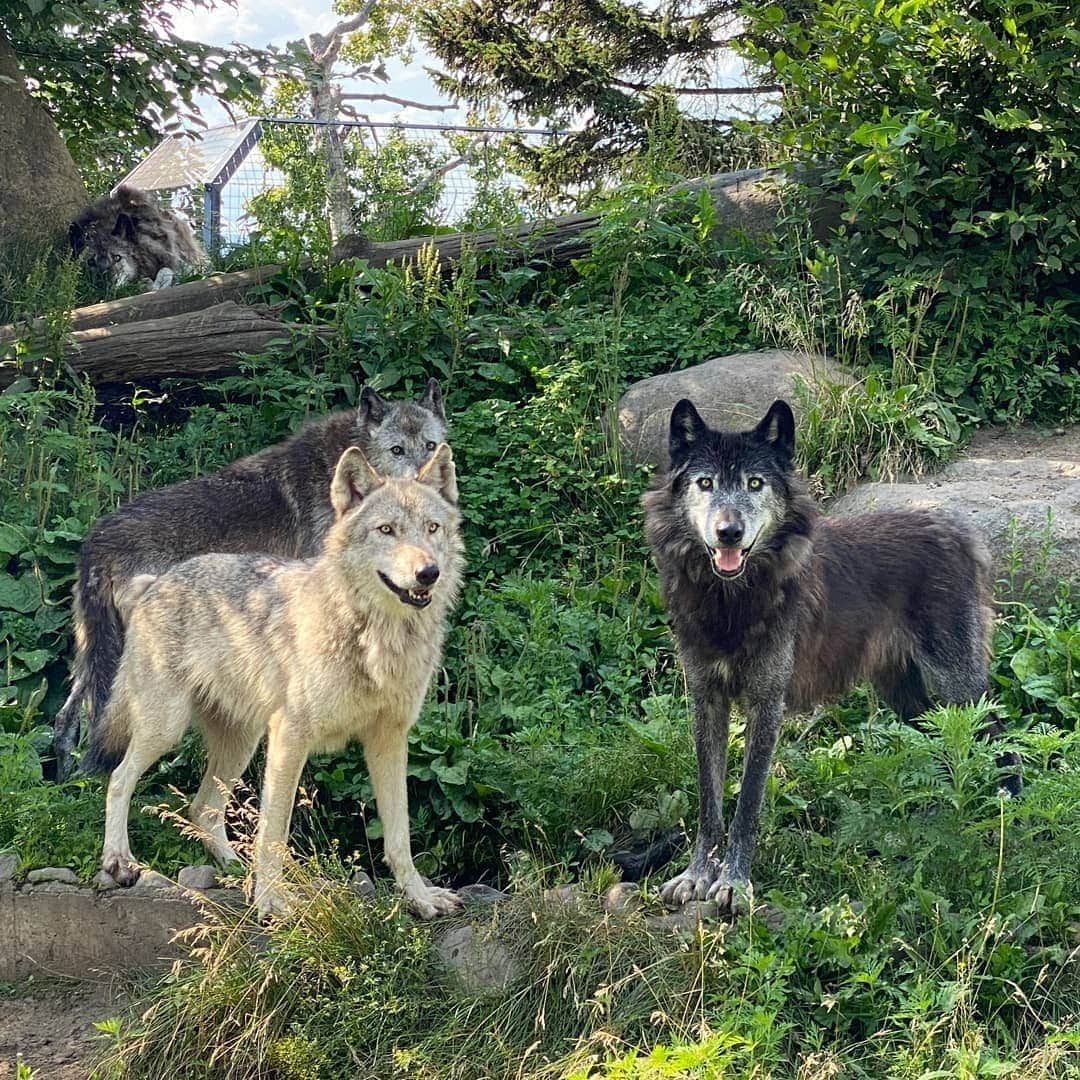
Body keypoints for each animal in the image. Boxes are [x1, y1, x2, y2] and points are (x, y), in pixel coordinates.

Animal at [87, 442, 464, 915]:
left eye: (432, 528)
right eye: (386, 530)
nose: (427, 572)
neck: (374, 639)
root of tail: (155, 581)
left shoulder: (390, 739)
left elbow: (400, 836)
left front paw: (421, 898)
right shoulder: (290, 736)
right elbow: (275, 830)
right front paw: (271, 903)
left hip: (242, 743)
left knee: (203, 809)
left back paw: (232, 866)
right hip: (166, 729)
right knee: (120, 780)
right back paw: (119, 862)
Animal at [639, 397, 1002, 911]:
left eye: (755, 483)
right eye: (705, 483)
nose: (729, 532)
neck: (731, 601)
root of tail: (961, 527)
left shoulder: (766, 704)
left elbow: (747, 802)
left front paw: (734, 883)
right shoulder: (706, 699)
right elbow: (709, 799)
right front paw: (696, 876)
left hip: (959, 684)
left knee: (996, 739)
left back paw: (1003, 817)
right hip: (906, 696)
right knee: (940, 744)